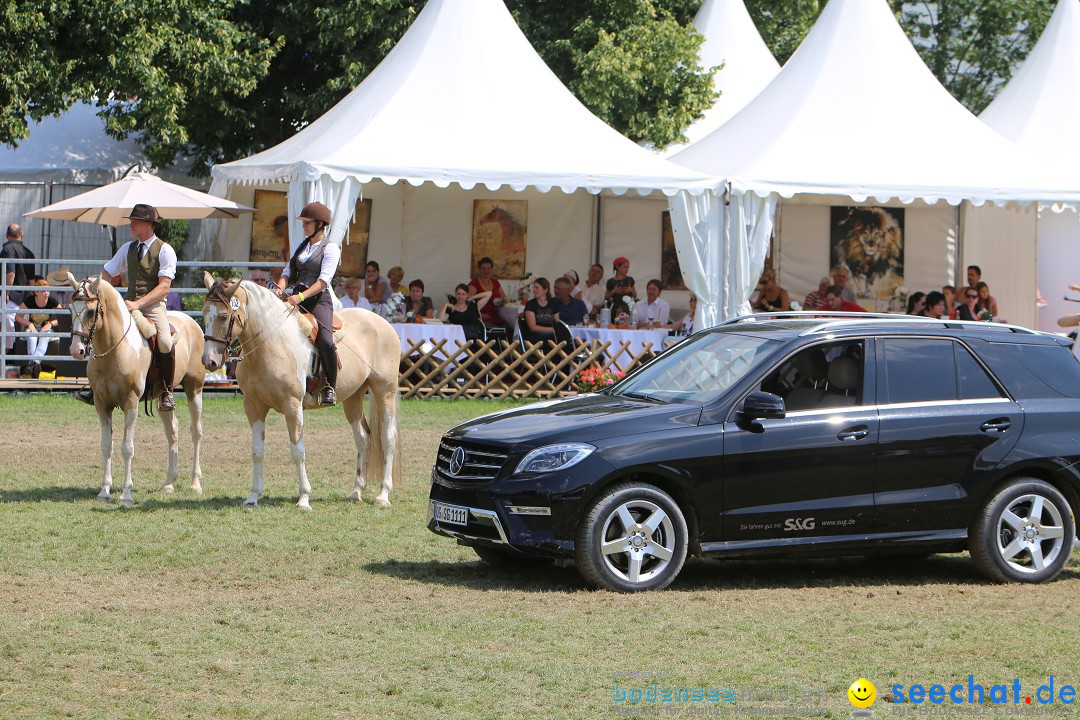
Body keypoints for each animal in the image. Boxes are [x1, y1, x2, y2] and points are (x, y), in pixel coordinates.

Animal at [64, 273, 205, 505]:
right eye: (69, 309)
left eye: (91, 311)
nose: (77, 350)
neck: (114, 350)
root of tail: (191, 322)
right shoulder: (102, 405)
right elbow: (107, 446)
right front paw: (104, 491)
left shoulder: (130, 403)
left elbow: (127, 447)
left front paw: (126, 493)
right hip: (162, 399)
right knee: (172, 431)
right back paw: (169, 483)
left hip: (195, 389)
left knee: (196, 432)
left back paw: (195, 483)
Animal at [201, 273, 401, 509]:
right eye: (204, 314)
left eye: (223, 316)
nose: (210, 361)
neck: (273, 343)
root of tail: (383, 323)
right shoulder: (254, 407)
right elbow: (257, 451)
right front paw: (253, 497)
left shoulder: (293, 406)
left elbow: (298, 451)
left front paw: (304, 498)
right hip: (354, 397)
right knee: (362, 438)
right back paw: (356, 492)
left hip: (384, 392)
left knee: (388, 438)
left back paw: (383, 495)